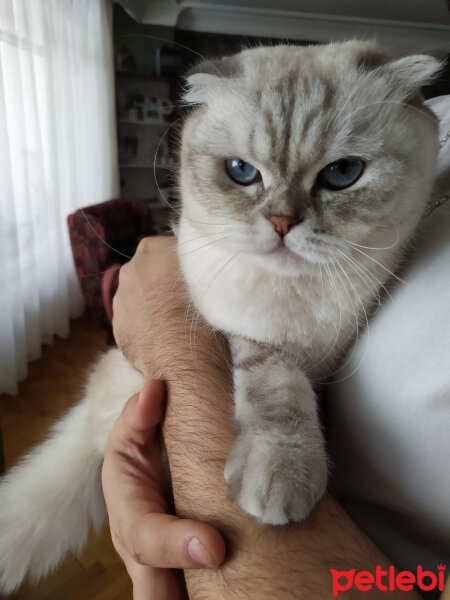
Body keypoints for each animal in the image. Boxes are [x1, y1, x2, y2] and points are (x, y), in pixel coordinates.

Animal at [0, 39, 442, 592]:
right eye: (242, 172)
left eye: (343, 174)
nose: (282, 223)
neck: (299, 296)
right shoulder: (241, 330)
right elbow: (278, 386)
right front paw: (282, 475)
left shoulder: (330, 359)